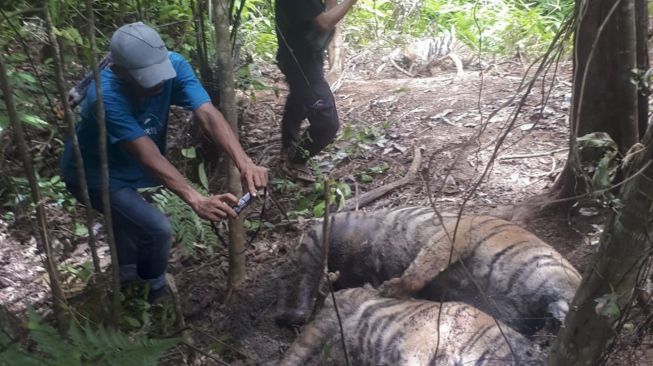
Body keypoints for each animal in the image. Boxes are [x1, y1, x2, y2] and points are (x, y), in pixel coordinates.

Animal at [272, 206, 580, 334]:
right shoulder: (460, 232)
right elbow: (424, 266)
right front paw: (392, 288)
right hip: (328, 230)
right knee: (304, 269)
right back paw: (293, 313)